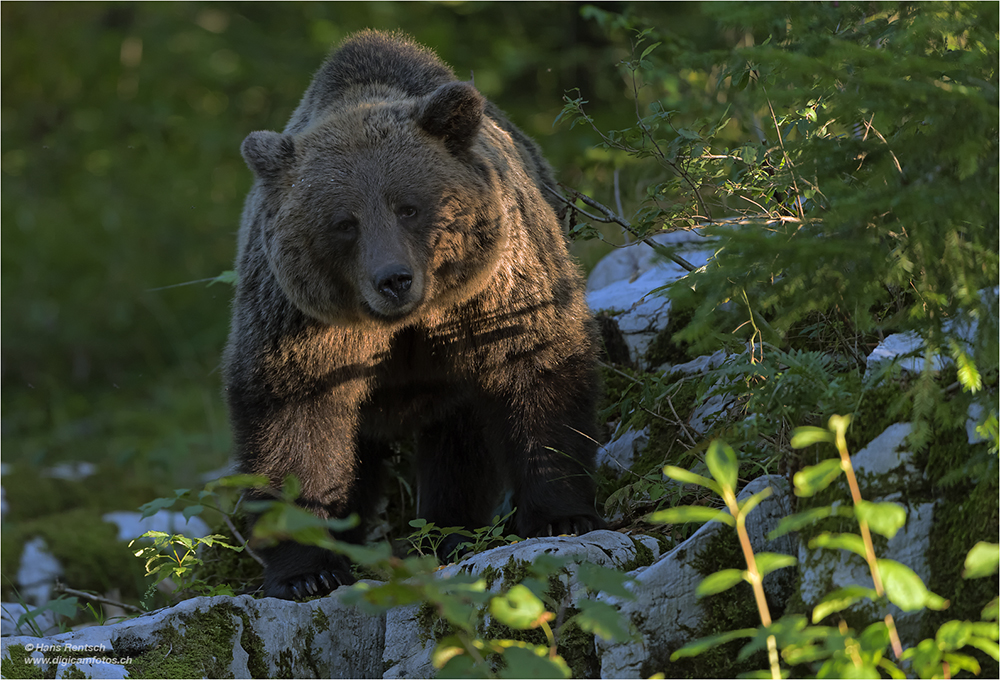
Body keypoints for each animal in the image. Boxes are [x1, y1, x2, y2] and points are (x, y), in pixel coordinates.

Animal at [225, 30, 600, 600]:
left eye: (408, 206)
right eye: (345, 223)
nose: (394, 278)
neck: (404, 325)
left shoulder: (494, 296)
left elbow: (538, 368)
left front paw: (562, 516)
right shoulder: (306, 328)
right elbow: (295, 425)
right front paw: (309, 571)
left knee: (458, 447)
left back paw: (450, 533)